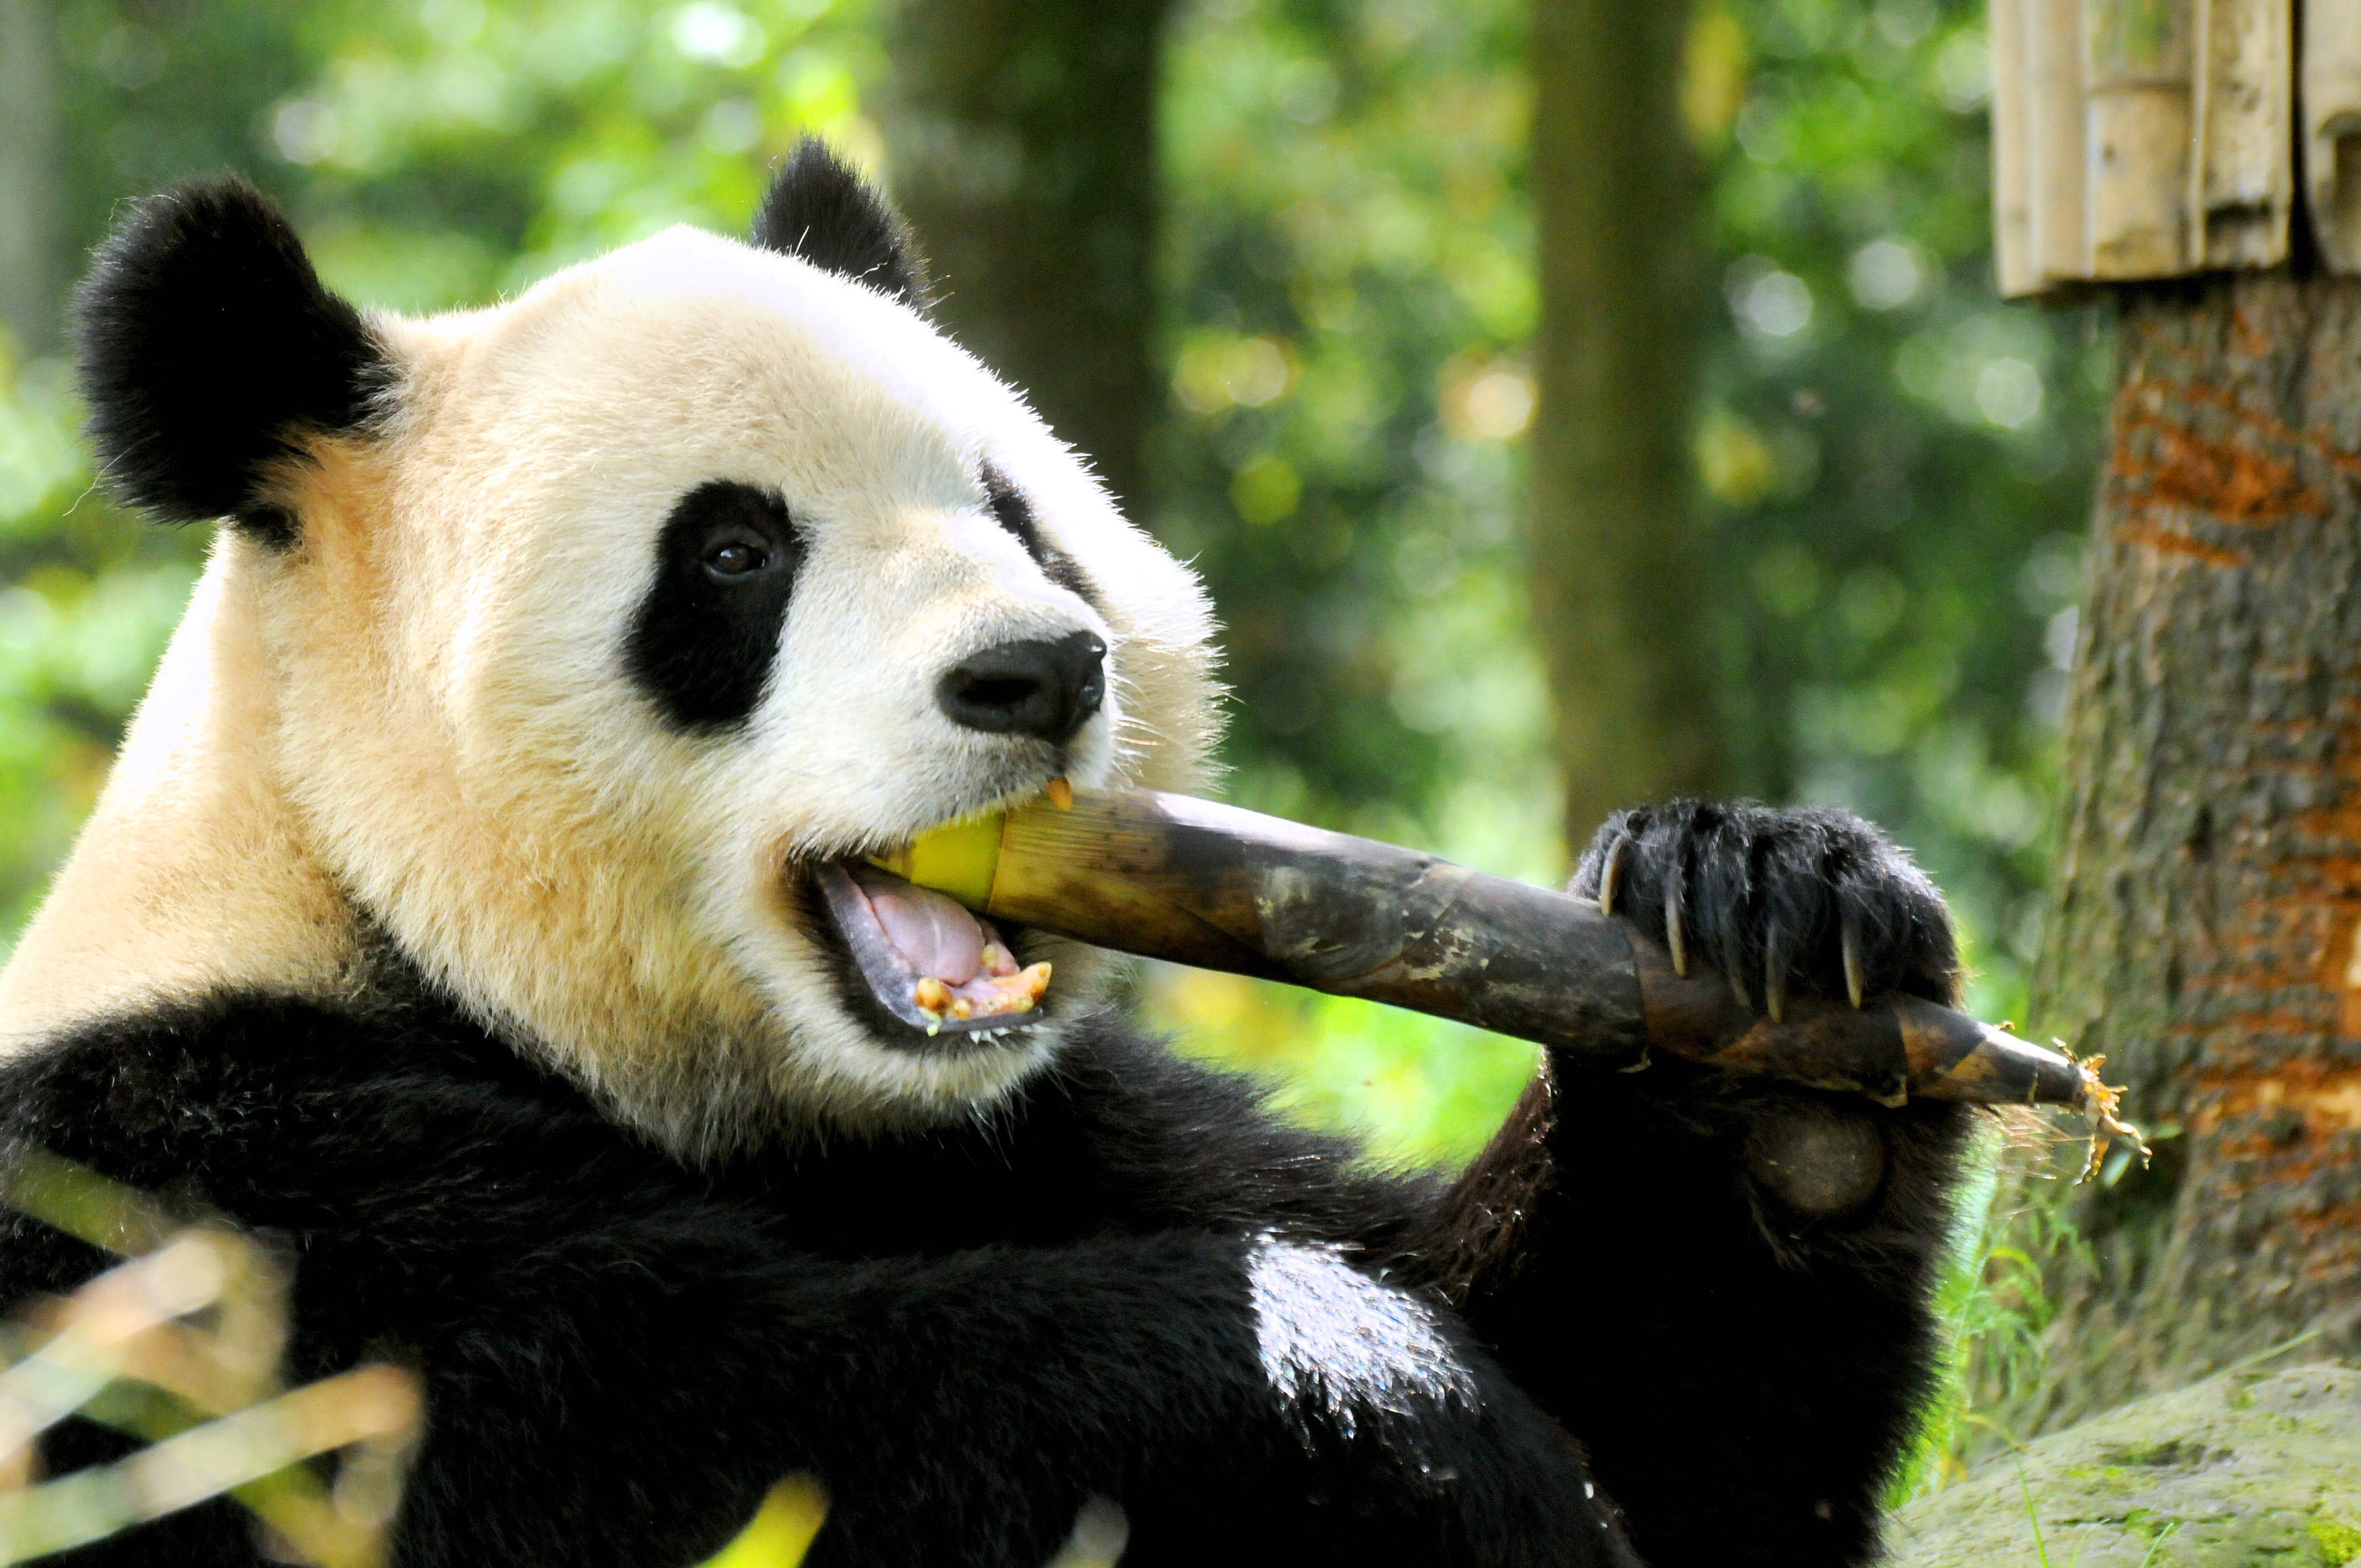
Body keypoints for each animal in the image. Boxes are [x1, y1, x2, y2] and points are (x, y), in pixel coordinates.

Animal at [0, 141, 1970, 1568]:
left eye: (1015, 512)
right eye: (732, 554)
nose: (1039, 671)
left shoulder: (1061, 1122)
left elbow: (1679, 1439)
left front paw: (1773, 965)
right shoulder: (196, 1188)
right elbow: (615, 1440)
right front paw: (1369, 1400)